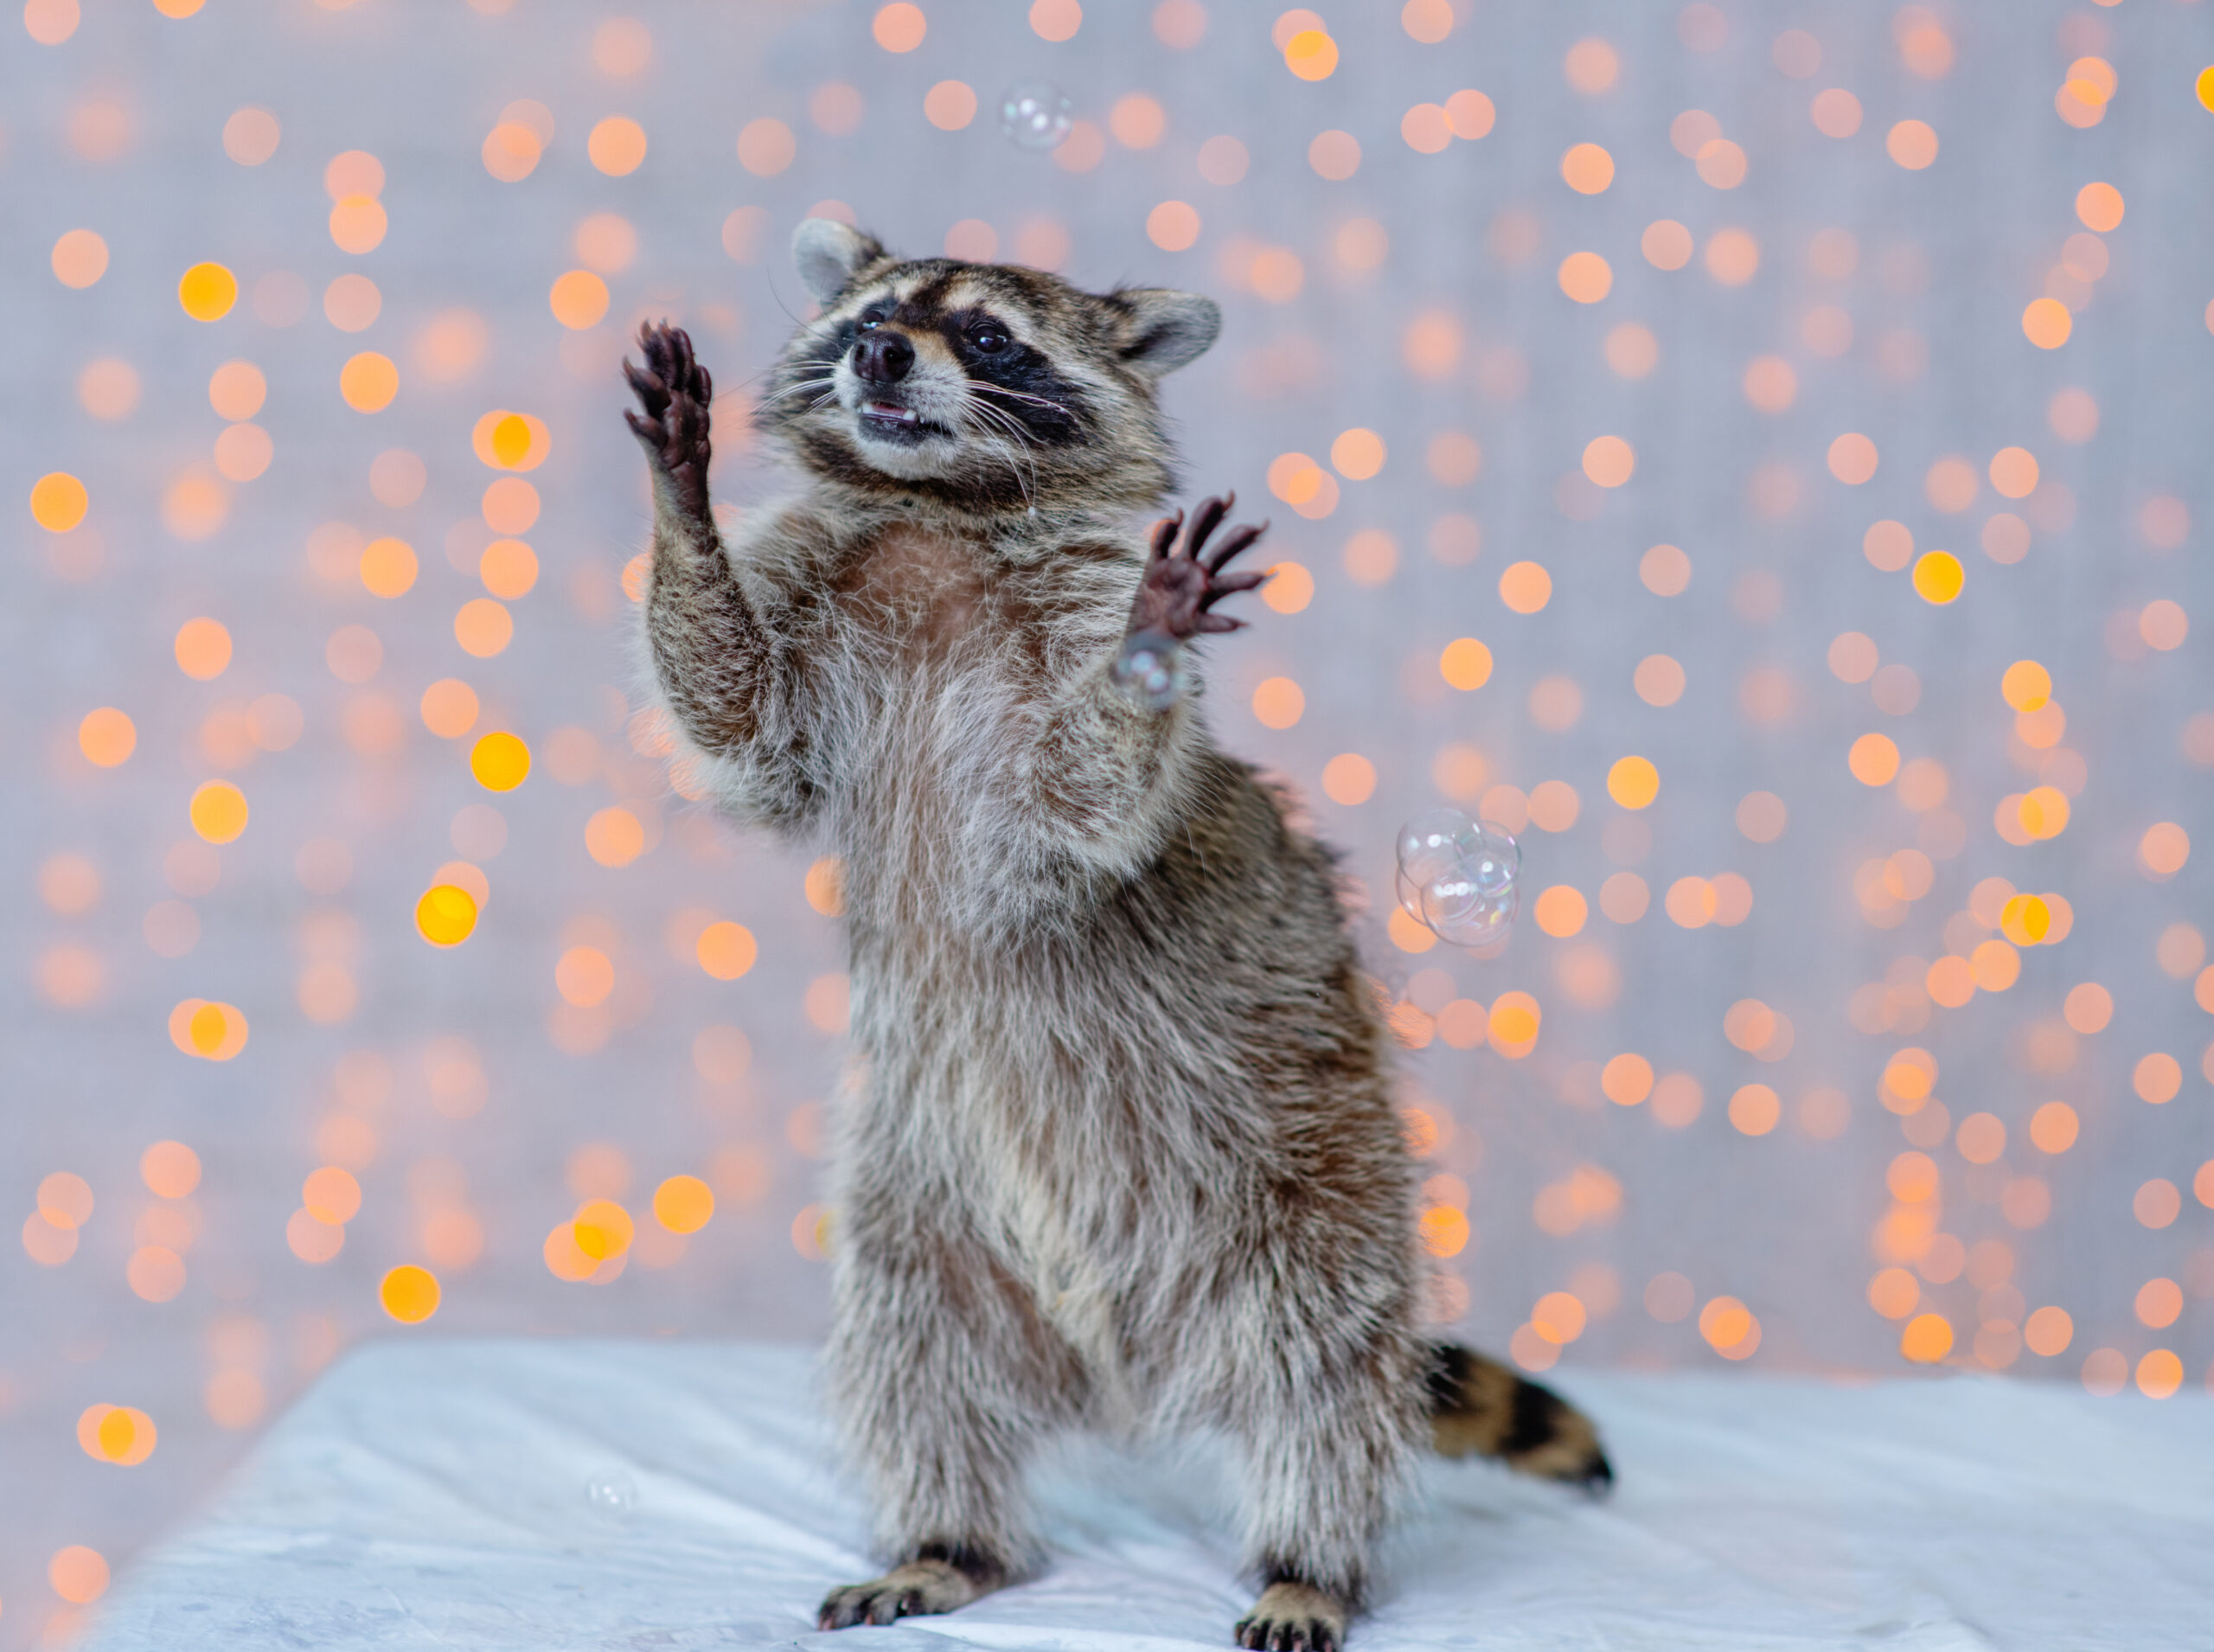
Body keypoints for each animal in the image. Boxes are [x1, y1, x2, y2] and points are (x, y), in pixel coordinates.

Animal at [622, 219, 1610, 1652]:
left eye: (985, 335)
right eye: (869, 313)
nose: (880, 353)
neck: (945, 509)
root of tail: (1121, 1367)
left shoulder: (1060, 648)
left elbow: (1081, 799)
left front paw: (1148, 638)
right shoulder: (822, 612)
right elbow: (736, 710)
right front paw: (680, 508)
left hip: (1316, 1163)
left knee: (1328, 1364)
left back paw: (1311, 1555)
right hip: (919, 1188)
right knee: (913, 1352)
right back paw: (948, 1537)